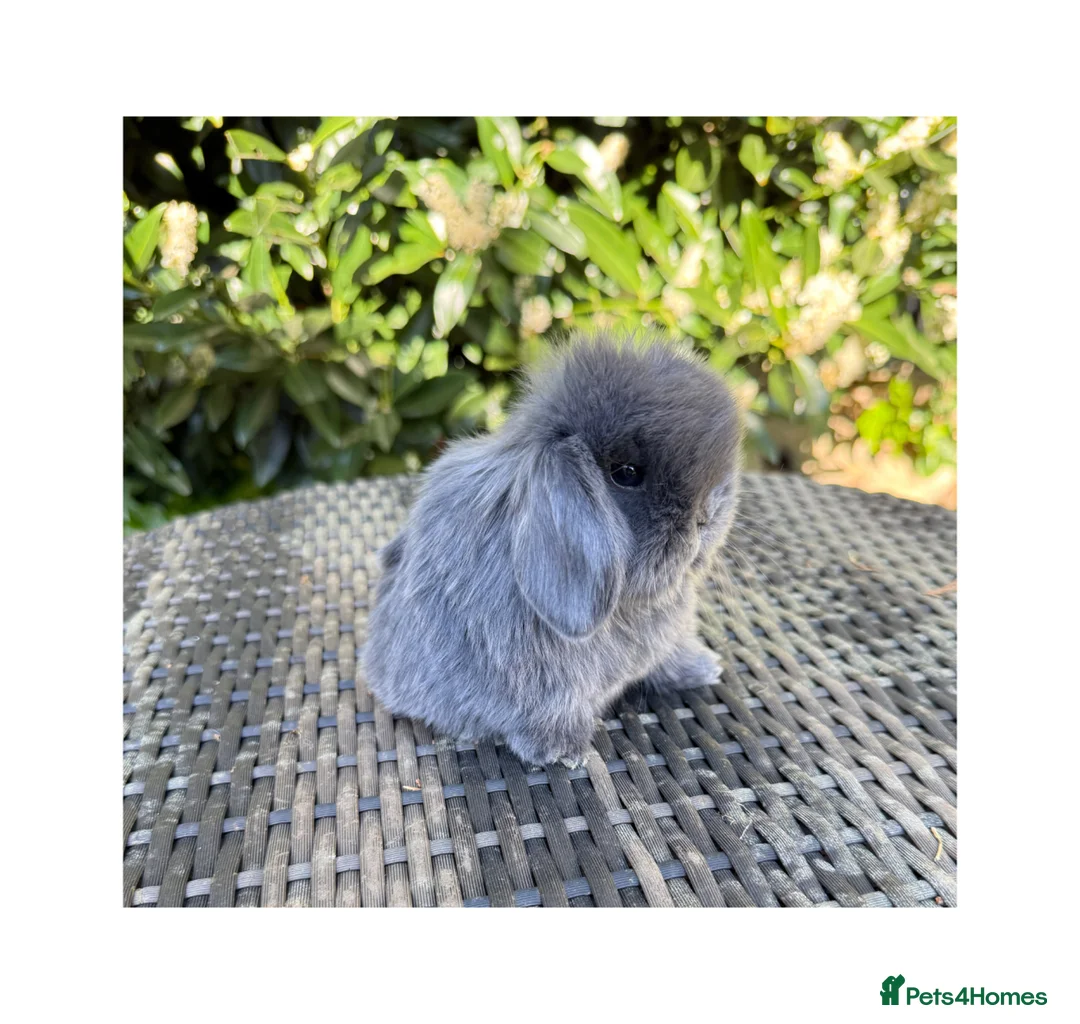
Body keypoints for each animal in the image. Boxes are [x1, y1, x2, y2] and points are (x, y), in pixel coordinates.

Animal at [363, 331, 741, 768]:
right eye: (626, 473)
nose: (707, 515)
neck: (629, 606)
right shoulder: (540, 679)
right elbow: (550, 708)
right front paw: (563, 750)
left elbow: (671, 657)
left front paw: (703, 667)